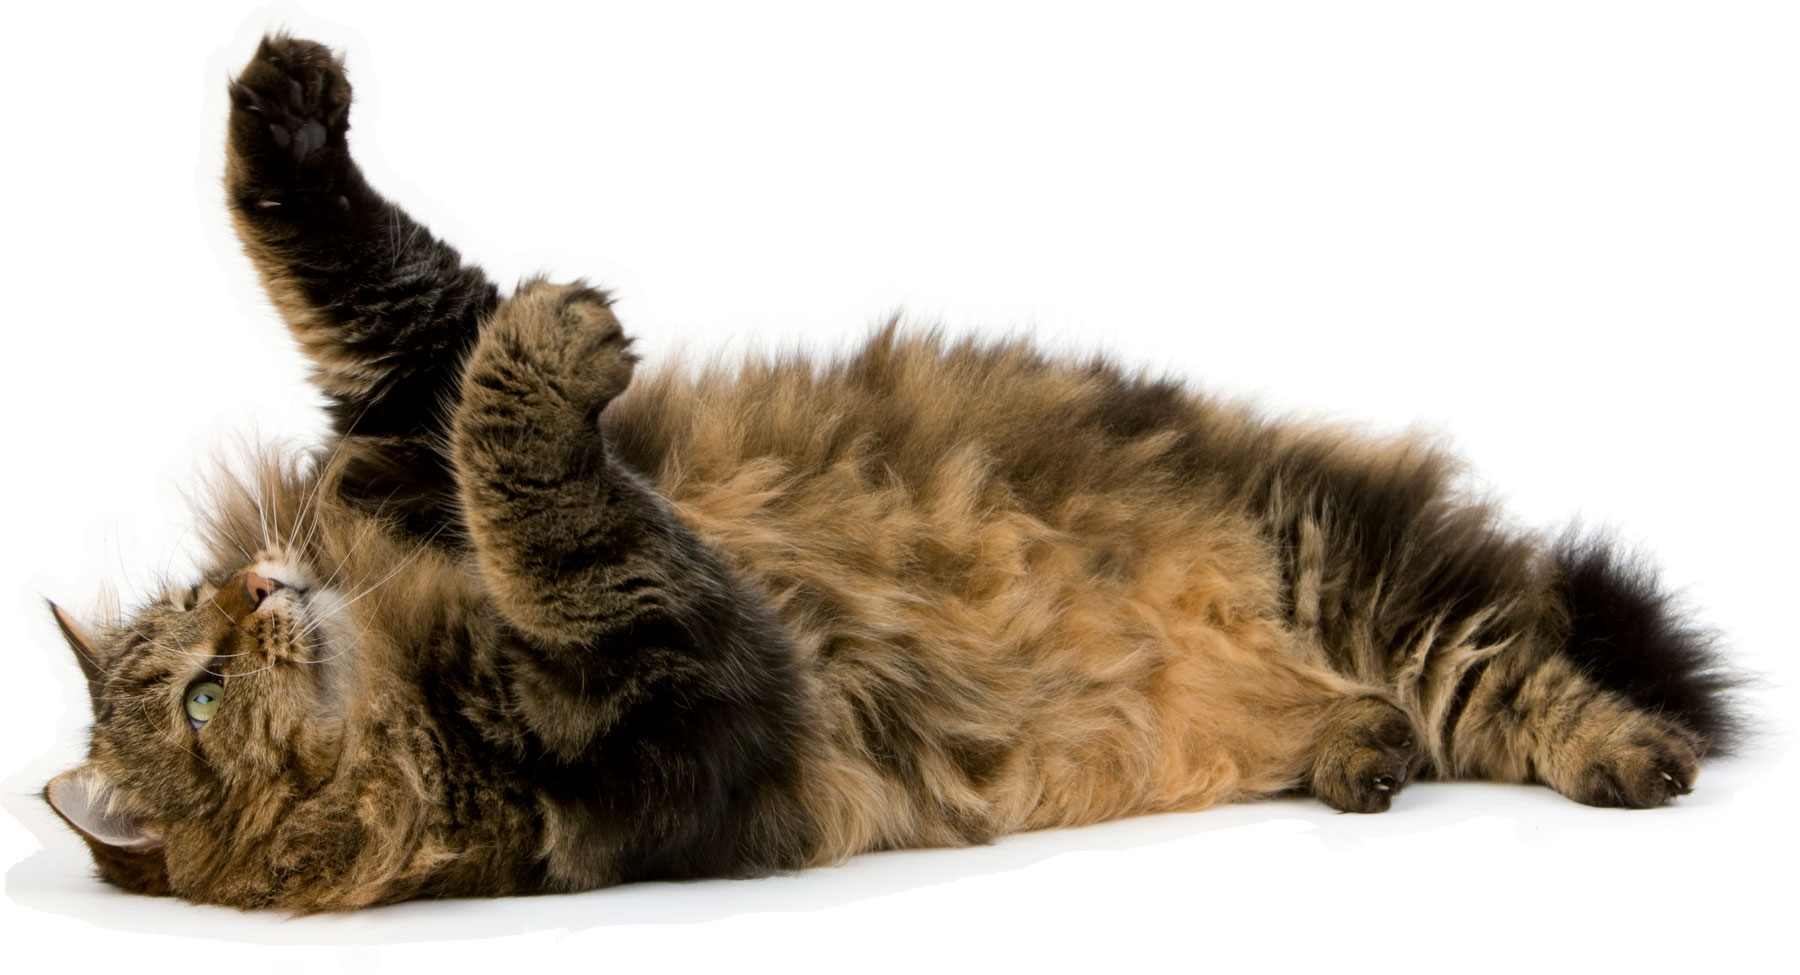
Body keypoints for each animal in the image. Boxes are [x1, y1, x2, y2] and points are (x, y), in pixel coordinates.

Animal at [42, 32, 1735, 917]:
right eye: (199, 697)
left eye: (206, 609)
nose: (263, 587)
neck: (414, 674)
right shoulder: (687, 685)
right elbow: (564, 509)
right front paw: (553, 344)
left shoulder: (405, 434)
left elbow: (393, 296)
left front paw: (286, 114)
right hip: (1367, 587)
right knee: (1499, 681)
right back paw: (1439, 752)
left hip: (1344, 559)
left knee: (1530, 663)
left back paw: (1592, 746)